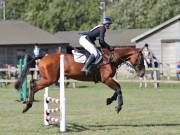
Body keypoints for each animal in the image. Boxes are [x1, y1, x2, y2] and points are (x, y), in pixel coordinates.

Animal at [14, 47, 146, 113]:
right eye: (141, 59)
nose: (142, 73)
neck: (111, 58)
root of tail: (43, 57)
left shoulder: (108, 80)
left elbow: (117, 89)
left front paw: (109, 100)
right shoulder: (106, 79)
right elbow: (119, 88)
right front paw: (118, 107)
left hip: (48, 78)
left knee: (32, 83)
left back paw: (27, 103)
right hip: (49, 79)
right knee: (33, 84)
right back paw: (28, 105)